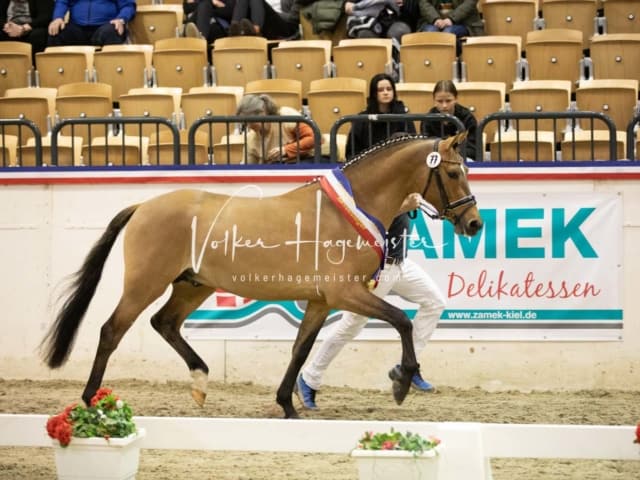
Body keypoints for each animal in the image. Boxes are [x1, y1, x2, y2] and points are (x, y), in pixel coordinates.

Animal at [40, 133, 480, 418]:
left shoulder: (321, 301)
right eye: (453, 174)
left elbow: (301, 349)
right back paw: (91, 402)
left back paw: (199, 383)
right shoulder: (345, 294)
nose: (474, 224)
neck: (350, 209)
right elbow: (402, 320)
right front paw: (402, 381)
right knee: (112, 331)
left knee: (163, 322)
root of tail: (144, 206)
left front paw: (287, 404)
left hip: (193, 286)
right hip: (145, 283)